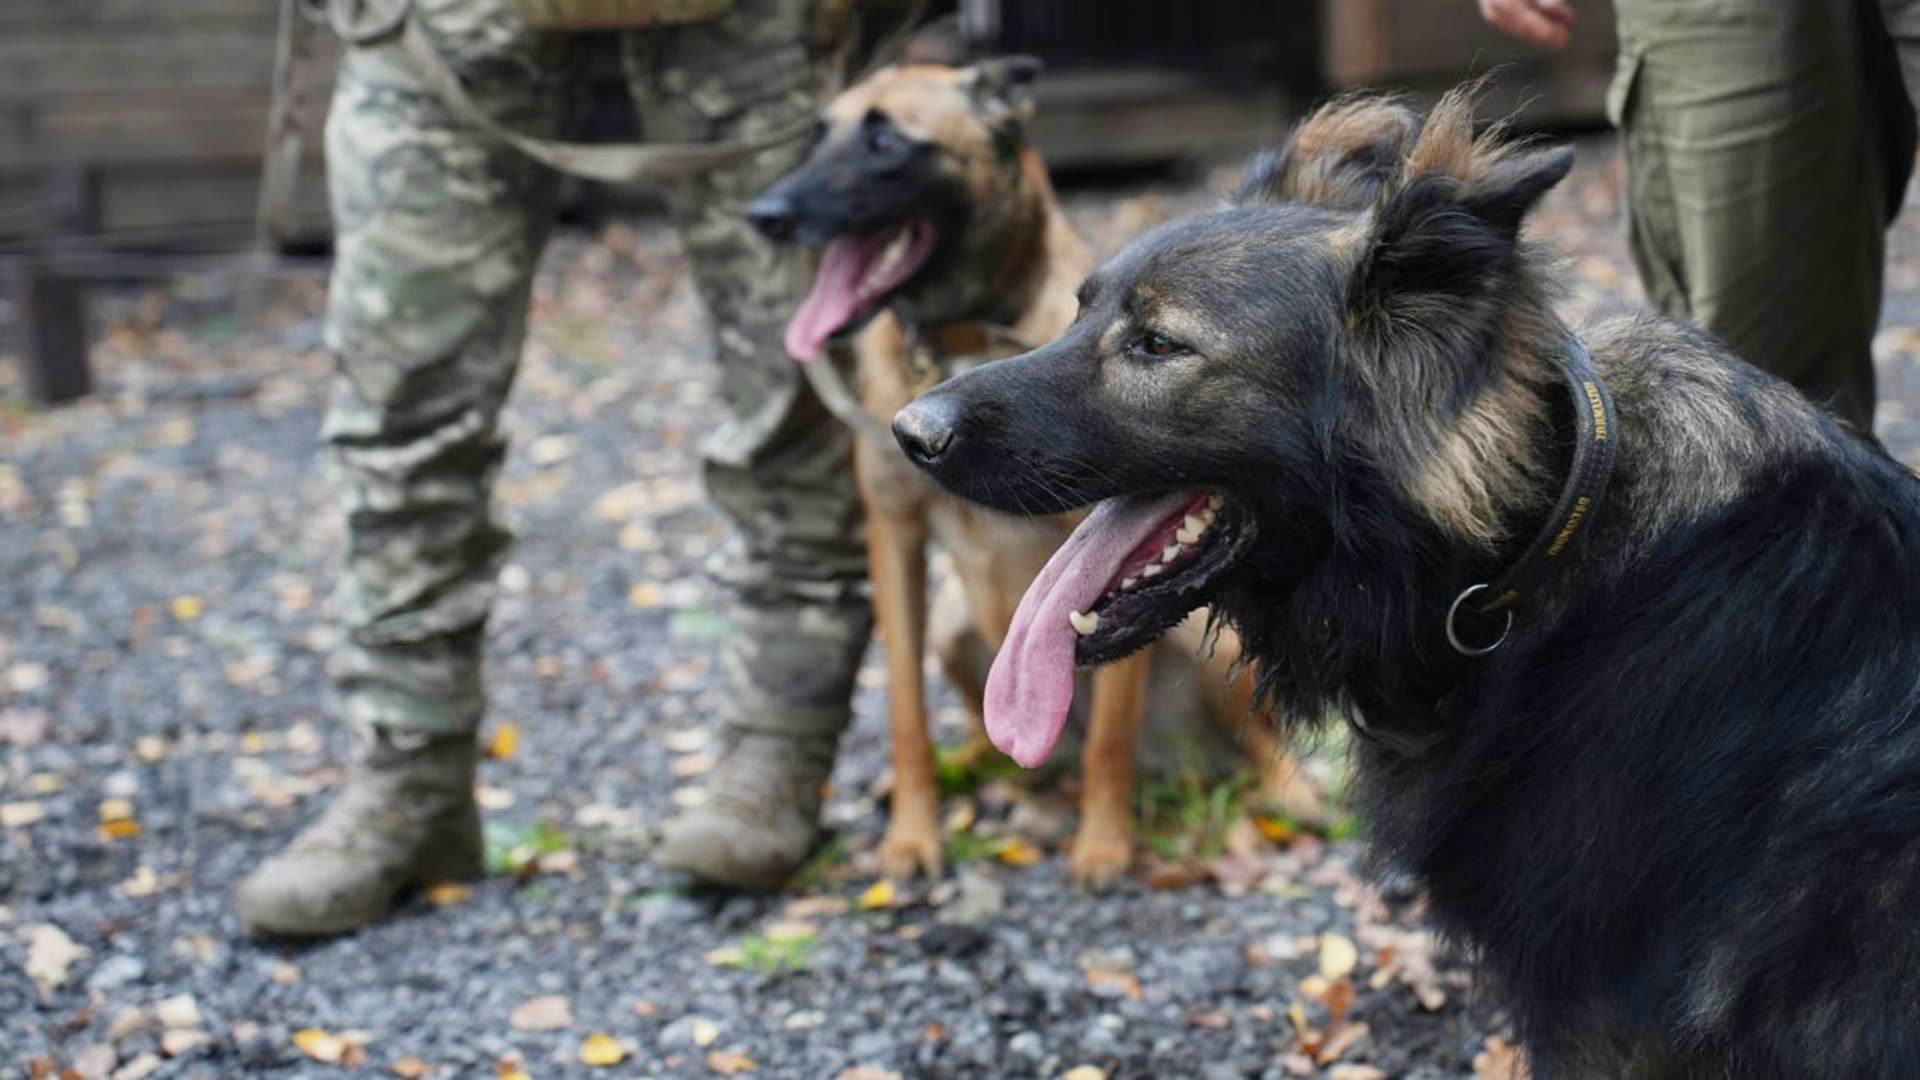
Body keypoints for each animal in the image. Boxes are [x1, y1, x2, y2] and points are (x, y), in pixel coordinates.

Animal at [748, 54, 1320, 883]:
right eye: (820, 133)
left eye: (887, 141)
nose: (765, 214)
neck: (960, 339)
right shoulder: (894, 535)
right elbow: (905, 713)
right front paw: (913, 835)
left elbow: (1113, 733)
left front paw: (1103, 846)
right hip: (955, 630)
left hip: (1206, 644)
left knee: (1233, 737)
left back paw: (1286, 791)